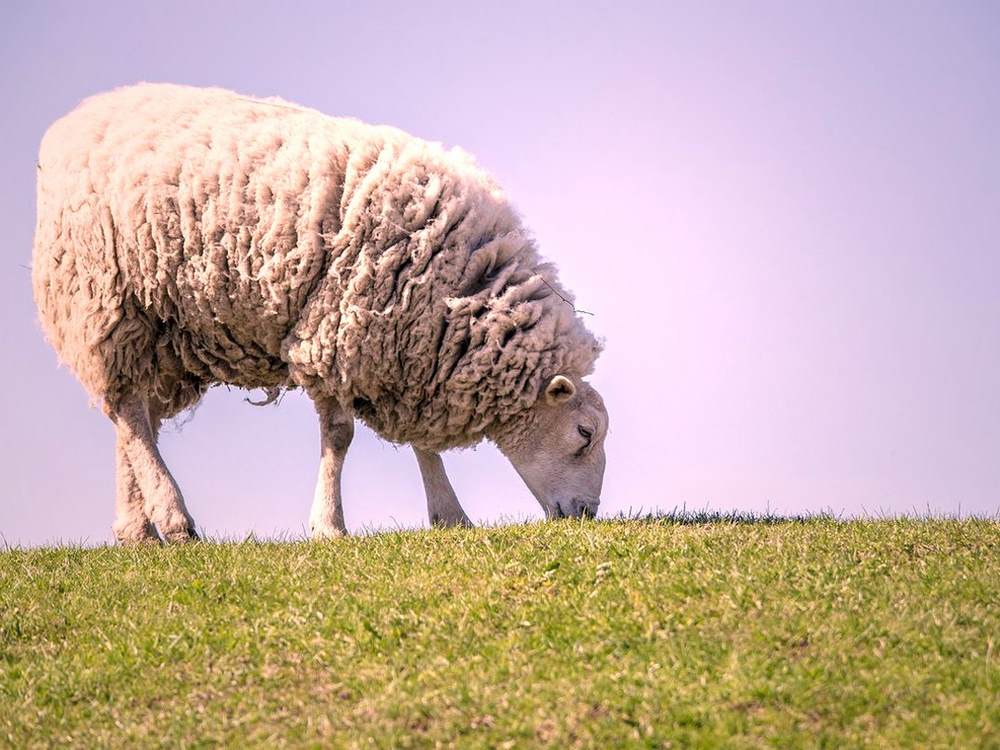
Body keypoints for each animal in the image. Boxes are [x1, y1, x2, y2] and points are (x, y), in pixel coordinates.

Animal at [32, 83, 609, 542]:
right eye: (584, 434)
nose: (587, 514)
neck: (457, 288)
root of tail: (71, 122)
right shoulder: (338, 333)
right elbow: (340, 436)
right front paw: (329, 524)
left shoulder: (410, 352)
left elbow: (421, 443)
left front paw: (450, 516)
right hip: (105, 296)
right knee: (128, 411)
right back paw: (174, 520)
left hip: (163, 331)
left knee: (134, 419)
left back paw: (137, 528)